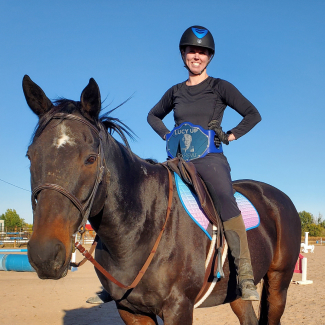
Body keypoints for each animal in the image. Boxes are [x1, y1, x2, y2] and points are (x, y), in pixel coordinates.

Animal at [25, 74, 302, 322]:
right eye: (31, 155)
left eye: (91, 159)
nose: (45, 255)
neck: (139, 229)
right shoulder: (131, 311)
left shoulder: (178, 308)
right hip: (234, 295)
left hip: (278, 284)